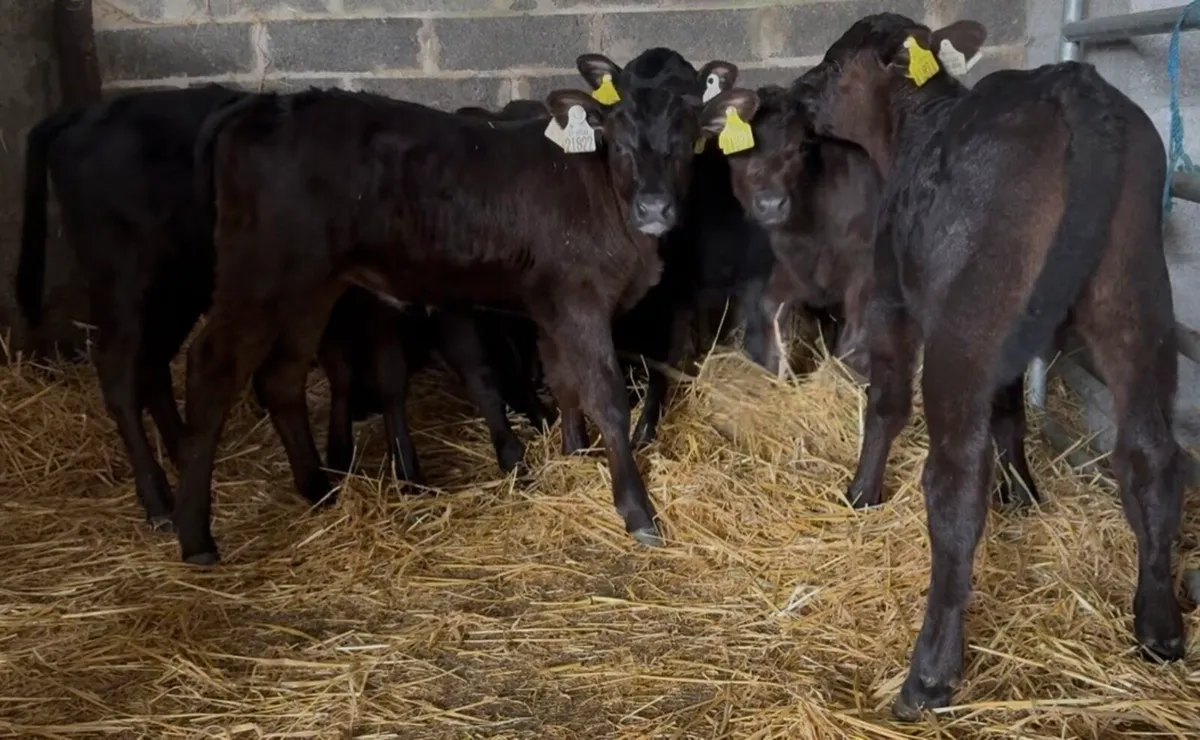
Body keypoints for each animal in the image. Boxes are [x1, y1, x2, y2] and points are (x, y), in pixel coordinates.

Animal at [174, 81, 761, 565]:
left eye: (685, 142)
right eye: (617, 143)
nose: (655, 208)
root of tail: (265, 102)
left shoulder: (552, 302)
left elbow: (565, 383)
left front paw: (574, 453)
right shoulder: (580, 301)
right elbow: (607, 398)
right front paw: (636, 510)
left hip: (312, 288)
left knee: (282, 376)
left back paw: (318, 487)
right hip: (260, 276)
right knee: (211, 370)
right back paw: (196, 536)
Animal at [722, 84, 881, 379]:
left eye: (800, 146)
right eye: (737, 152)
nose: (771, 204)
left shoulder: (862, 271)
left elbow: (853, 339)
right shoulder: (791, 271)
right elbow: (770, 309)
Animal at [795, 12, 1185, 719]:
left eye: (835, 64)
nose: (797, 91)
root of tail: (1074, 85)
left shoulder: (890, 292)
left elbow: (886, 400)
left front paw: (861, 492)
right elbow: (1008, 412)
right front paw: (1023, 492)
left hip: (966, 325)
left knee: (953, 481)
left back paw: (928, 675)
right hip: (1135, 298)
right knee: (1151, 453)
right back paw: (1159, 624)